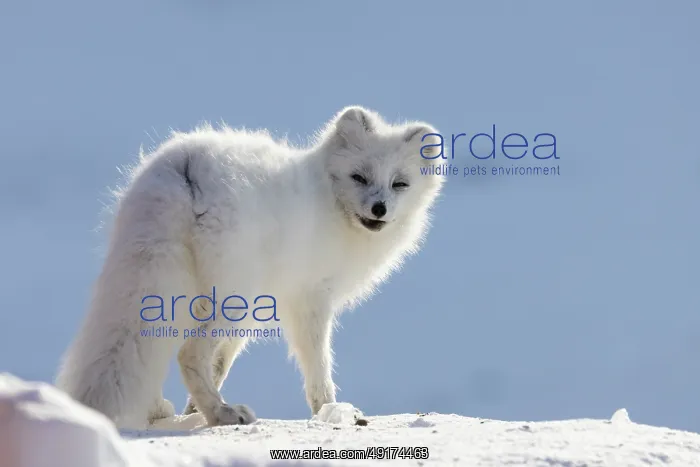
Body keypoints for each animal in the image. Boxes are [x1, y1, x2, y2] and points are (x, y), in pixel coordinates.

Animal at [55, 106, 445, 429]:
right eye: (359, 177)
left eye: (400, 184)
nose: (379, 208)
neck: (332, 204)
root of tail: (188, 164)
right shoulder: (309, 299)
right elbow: (318, 364)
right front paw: (330, 411)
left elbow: (221, 363)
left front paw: (190, 411)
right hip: (233, 295)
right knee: (187, 353)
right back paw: (222, 414)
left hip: (175, 288)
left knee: (157, 346)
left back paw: (163, 412)